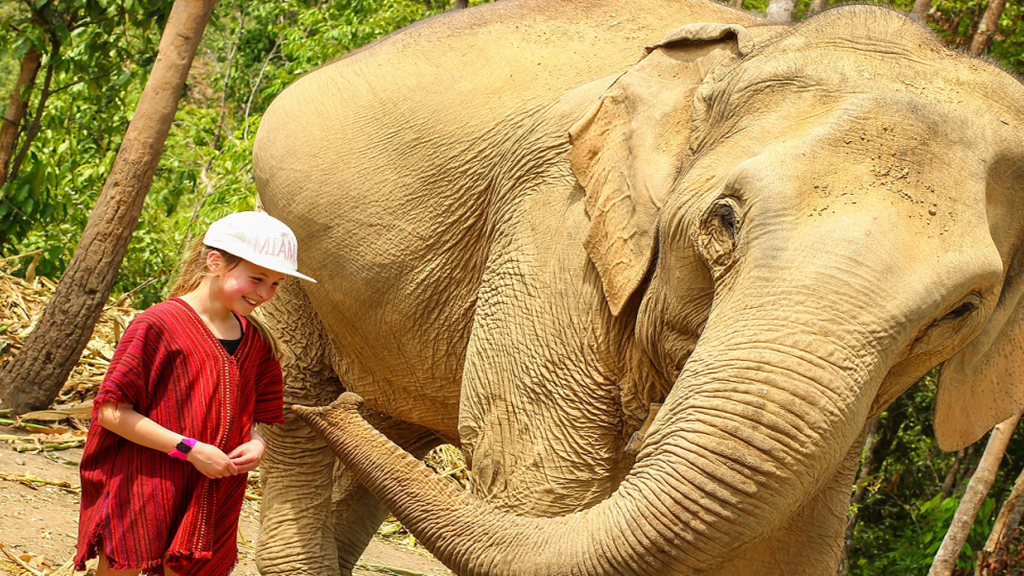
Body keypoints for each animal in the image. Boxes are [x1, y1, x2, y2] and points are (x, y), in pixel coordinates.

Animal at [251, 0, 1024, 569]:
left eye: (962, 309)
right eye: (724, 219)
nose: (337, 409)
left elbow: (788, 542)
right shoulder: (553, 216)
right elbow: (543, 478)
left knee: (386, 431)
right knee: (299, 397)